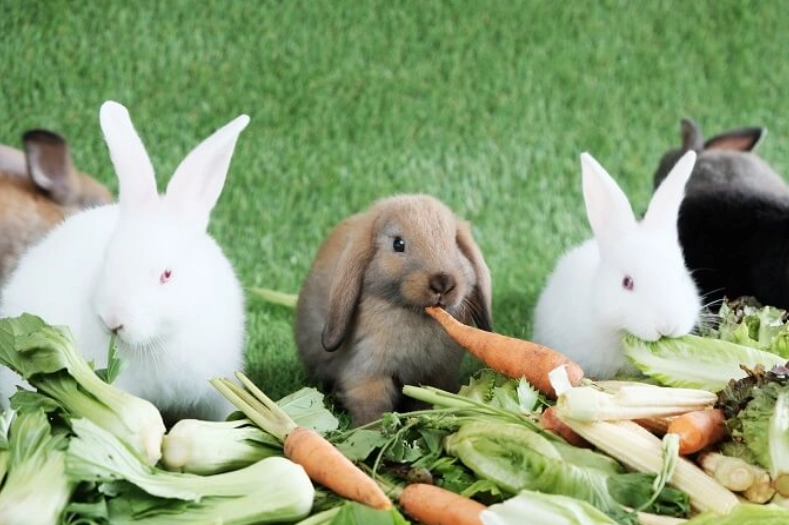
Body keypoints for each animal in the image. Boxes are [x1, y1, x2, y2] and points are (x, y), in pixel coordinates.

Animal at [294, 194, 493, 426]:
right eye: (398, 244)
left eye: (455, 243)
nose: (442, 282)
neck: (416, 315)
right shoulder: (367, 371)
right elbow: (372, 407)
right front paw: (373, 431)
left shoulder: (438, 373)